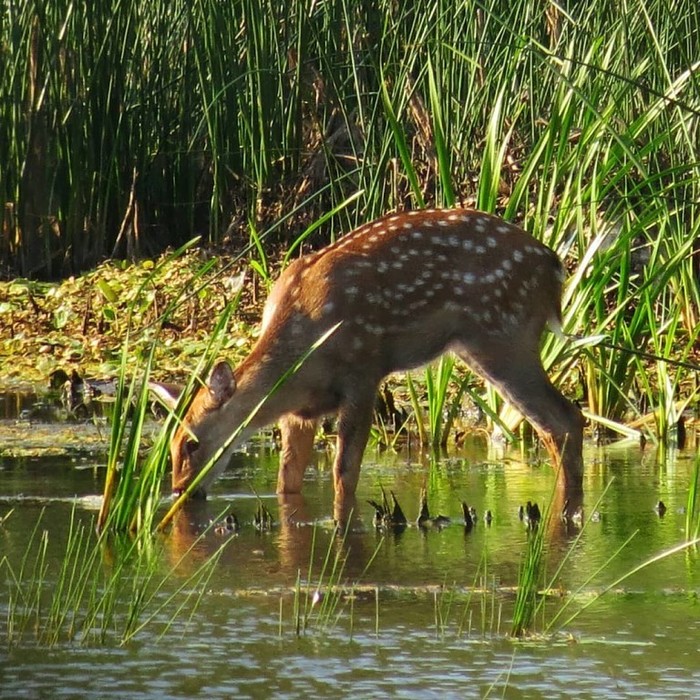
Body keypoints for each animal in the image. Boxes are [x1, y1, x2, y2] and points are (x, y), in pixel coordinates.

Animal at [152, 208, 584, 516]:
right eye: (168, 445)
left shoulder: (364, 370)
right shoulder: (300, 410)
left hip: (502, 338)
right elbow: (287, 476)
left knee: (564, 419)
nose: (180, 490)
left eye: (191, 443)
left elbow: (345, 471)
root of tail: (554, 266)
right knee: (560, 422)